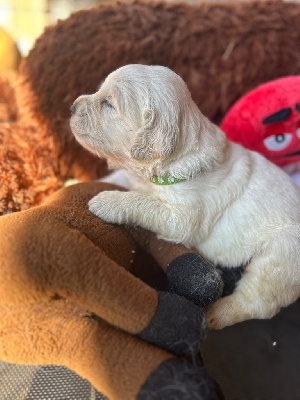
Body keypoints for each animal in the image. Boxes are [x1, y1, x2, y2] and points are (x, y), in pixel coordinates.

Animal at [69, 65, 300, 328]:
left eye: (108, 103)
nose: (72, 107)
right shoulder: (135, 178)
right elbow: (120, 180)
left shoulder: (183, 217)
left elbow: (144, 202)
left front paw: (107, 201)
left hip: (281, 256)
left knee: (258, 301)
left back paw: (215, 314)